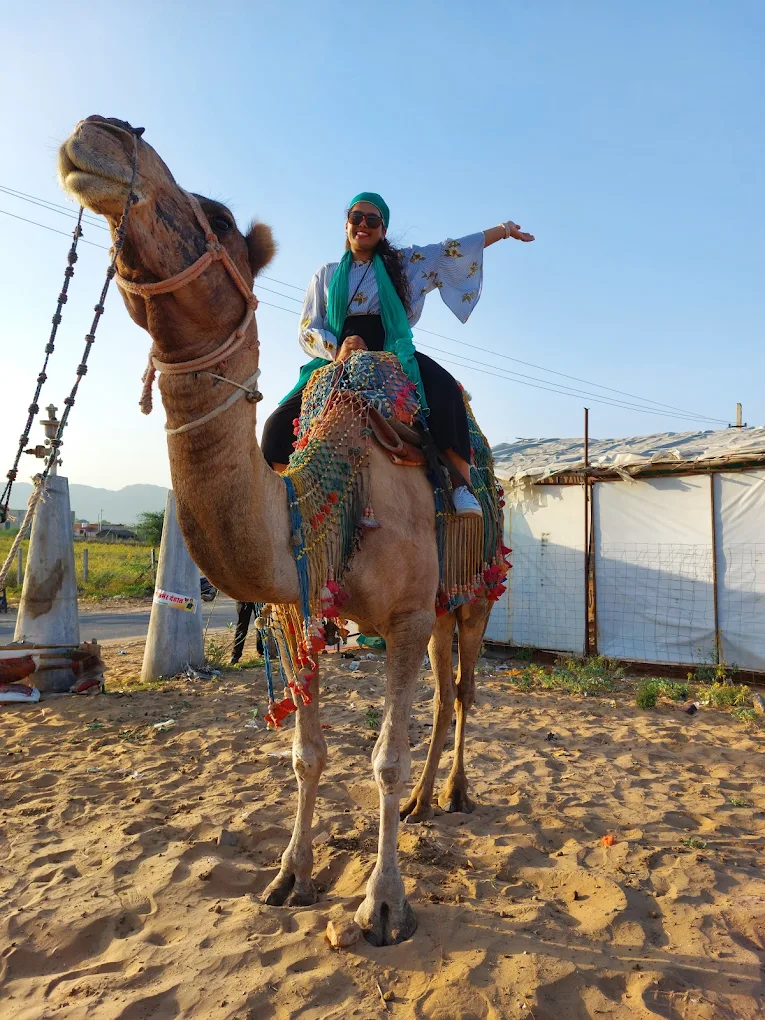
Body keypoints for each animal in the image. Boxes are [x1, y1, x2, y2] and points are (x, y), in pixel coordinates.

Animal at [58, 115, 493, 946]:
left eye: (220, 217)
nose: (101, 132)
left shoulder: (404, 614)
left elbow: (382, 758)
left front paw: (382, 903)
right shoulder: (298, 608)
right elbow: (307, 753)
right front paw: (291, 875)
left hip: (471, 594)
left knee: (462, 689)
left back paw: (452, 793)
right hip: (438, 608)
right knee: (444, 690)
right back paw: (424, 803)